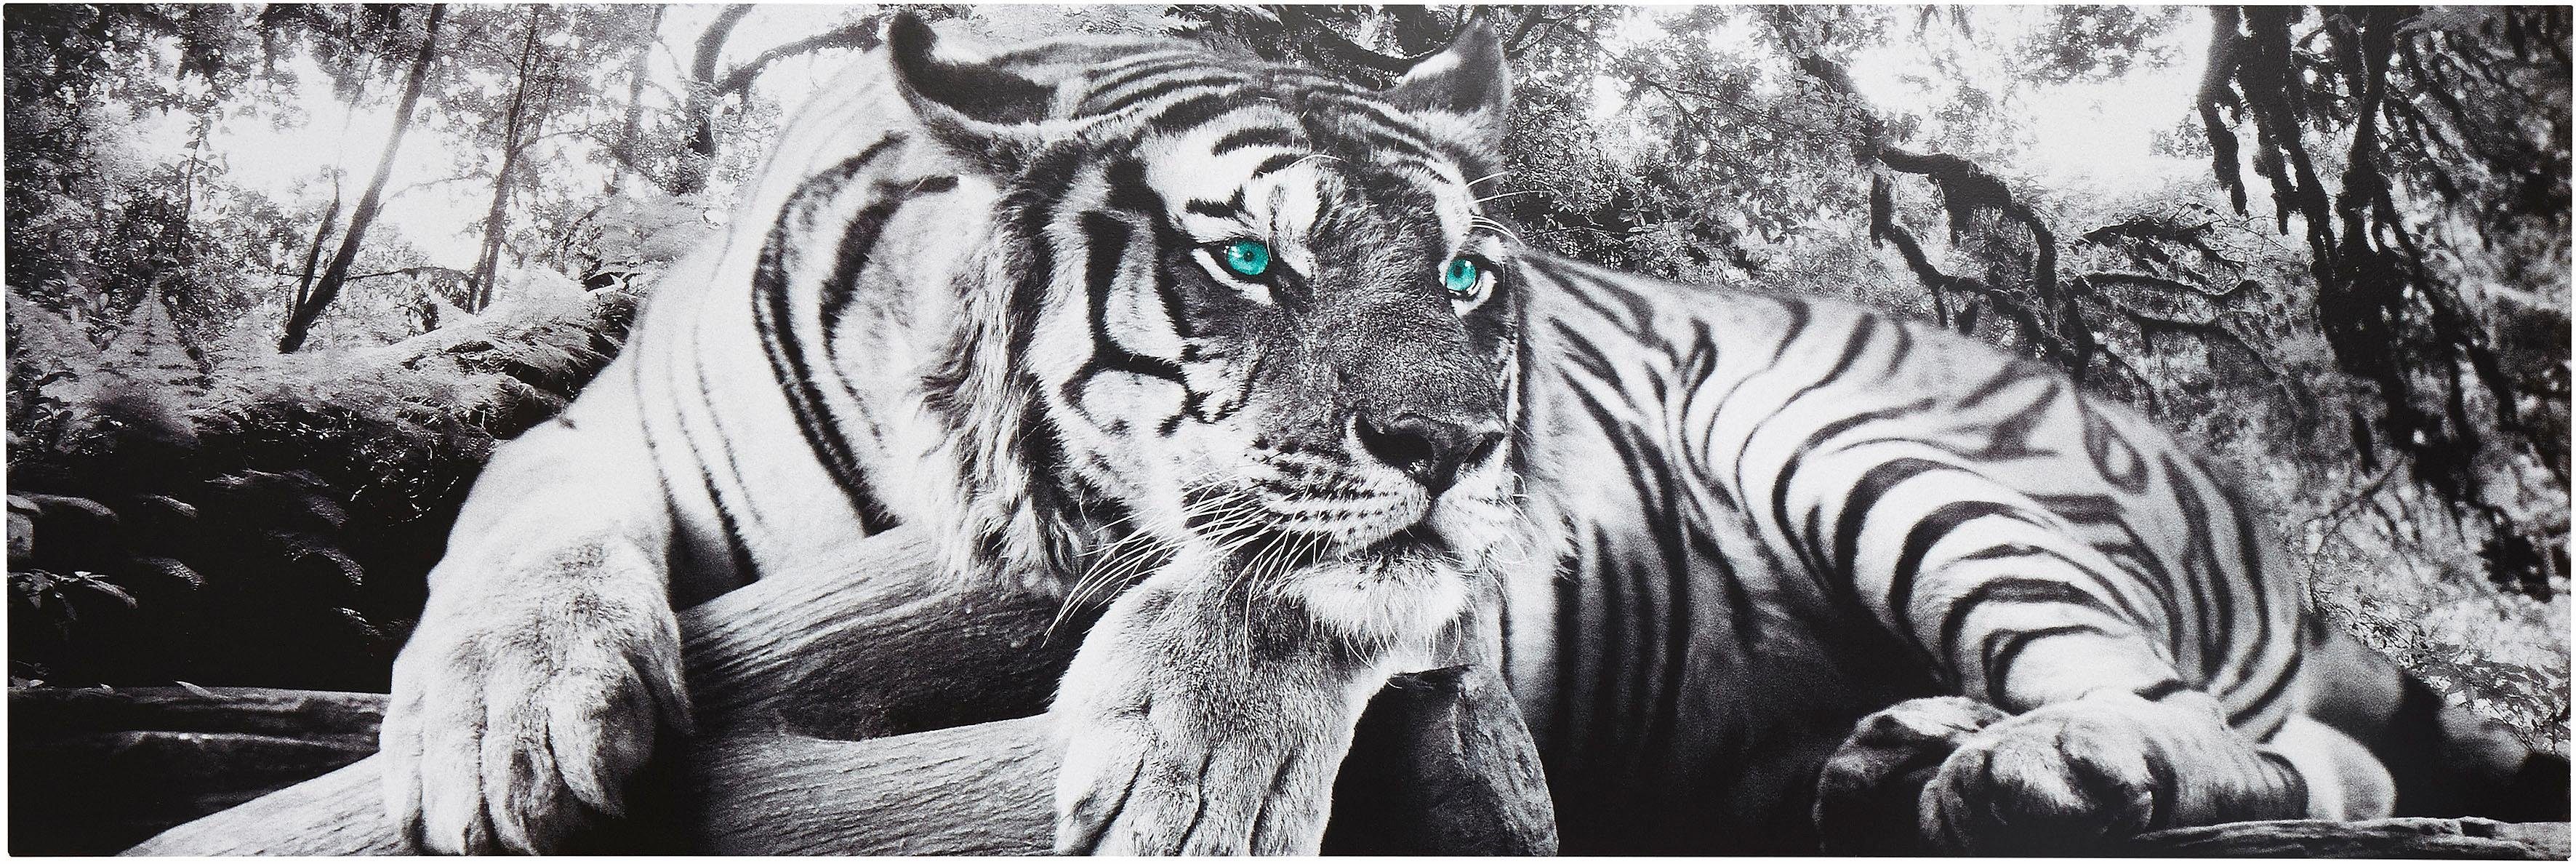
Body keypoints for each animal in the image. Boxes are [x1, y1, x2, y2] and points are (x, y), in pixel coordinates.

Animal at [378, 12, 2568, 856]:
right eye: (1245, 255)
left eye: (1456, 274)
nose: (1458, 437)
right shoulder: (607, 425)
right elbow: (509, 509)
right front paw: (503, 731)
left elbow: (1285, 580)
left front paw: (1181, 774)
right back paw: (1889, 749)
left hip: (1876, 445)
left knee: (2264, 743)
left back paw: (2054, 760)